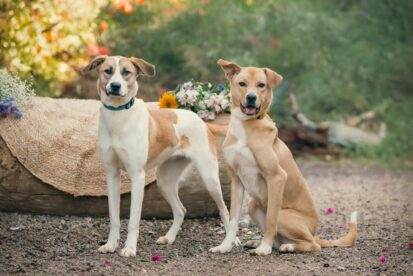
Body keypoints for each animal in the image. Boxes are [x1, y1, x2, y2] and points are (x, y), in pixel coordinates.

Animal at [83, 55, 235, 256]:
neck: (118, 117)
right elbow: (114, 218)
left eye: (126, 72)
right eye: (108, 71)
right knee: (180, 210)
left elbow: (133, 221)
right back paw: (169, 238)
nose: (115, 86)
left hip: (209, 178)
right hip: (164, 182)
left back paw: (230, 242)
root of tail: (203, 123)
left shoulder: (137, 177)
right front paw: (110, 245)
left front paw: (129, 248)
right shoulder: (112, 175)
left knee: (224, 211)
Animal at [209, 59, 358, 256]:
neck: (246, 126)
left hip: (284, 215)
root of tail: (314, 231)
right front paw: (225, 246)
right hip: (253, 206)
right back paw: (261, 243)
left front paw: (264, 249)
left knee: (312, 244)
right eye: (242, 84)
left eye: (261, 85)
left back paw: (287, 246)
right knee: (279, 239)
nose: (251, 97)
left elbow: (271, 221)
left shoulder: (277, 177)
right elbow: (232, 220)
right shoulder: (236, 180)